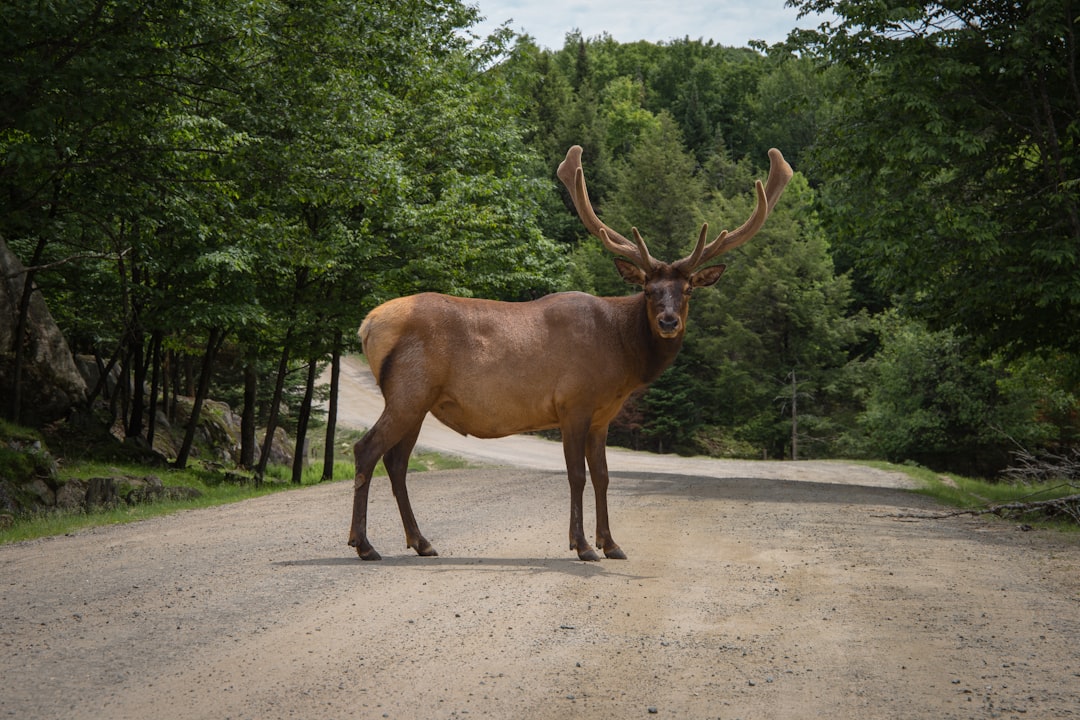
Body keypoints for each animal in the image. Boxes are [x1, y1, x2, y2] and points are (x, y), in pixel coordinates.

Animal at [349, 144, 790, 561]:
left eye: (687, 291)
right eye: (648, 289)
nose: (668, 321)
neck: (622, 358)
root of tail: (368, 324)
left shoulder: (602, 416)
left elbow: (603, 475)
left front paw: (612, 543)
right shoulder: (572, 402)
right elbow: (577, 474)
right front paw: (582, 545)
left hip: (419, 400)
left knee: (397, 461)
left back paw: (421, 542)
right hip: (409, 390)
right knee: (367, 449)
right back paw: (364, 543)